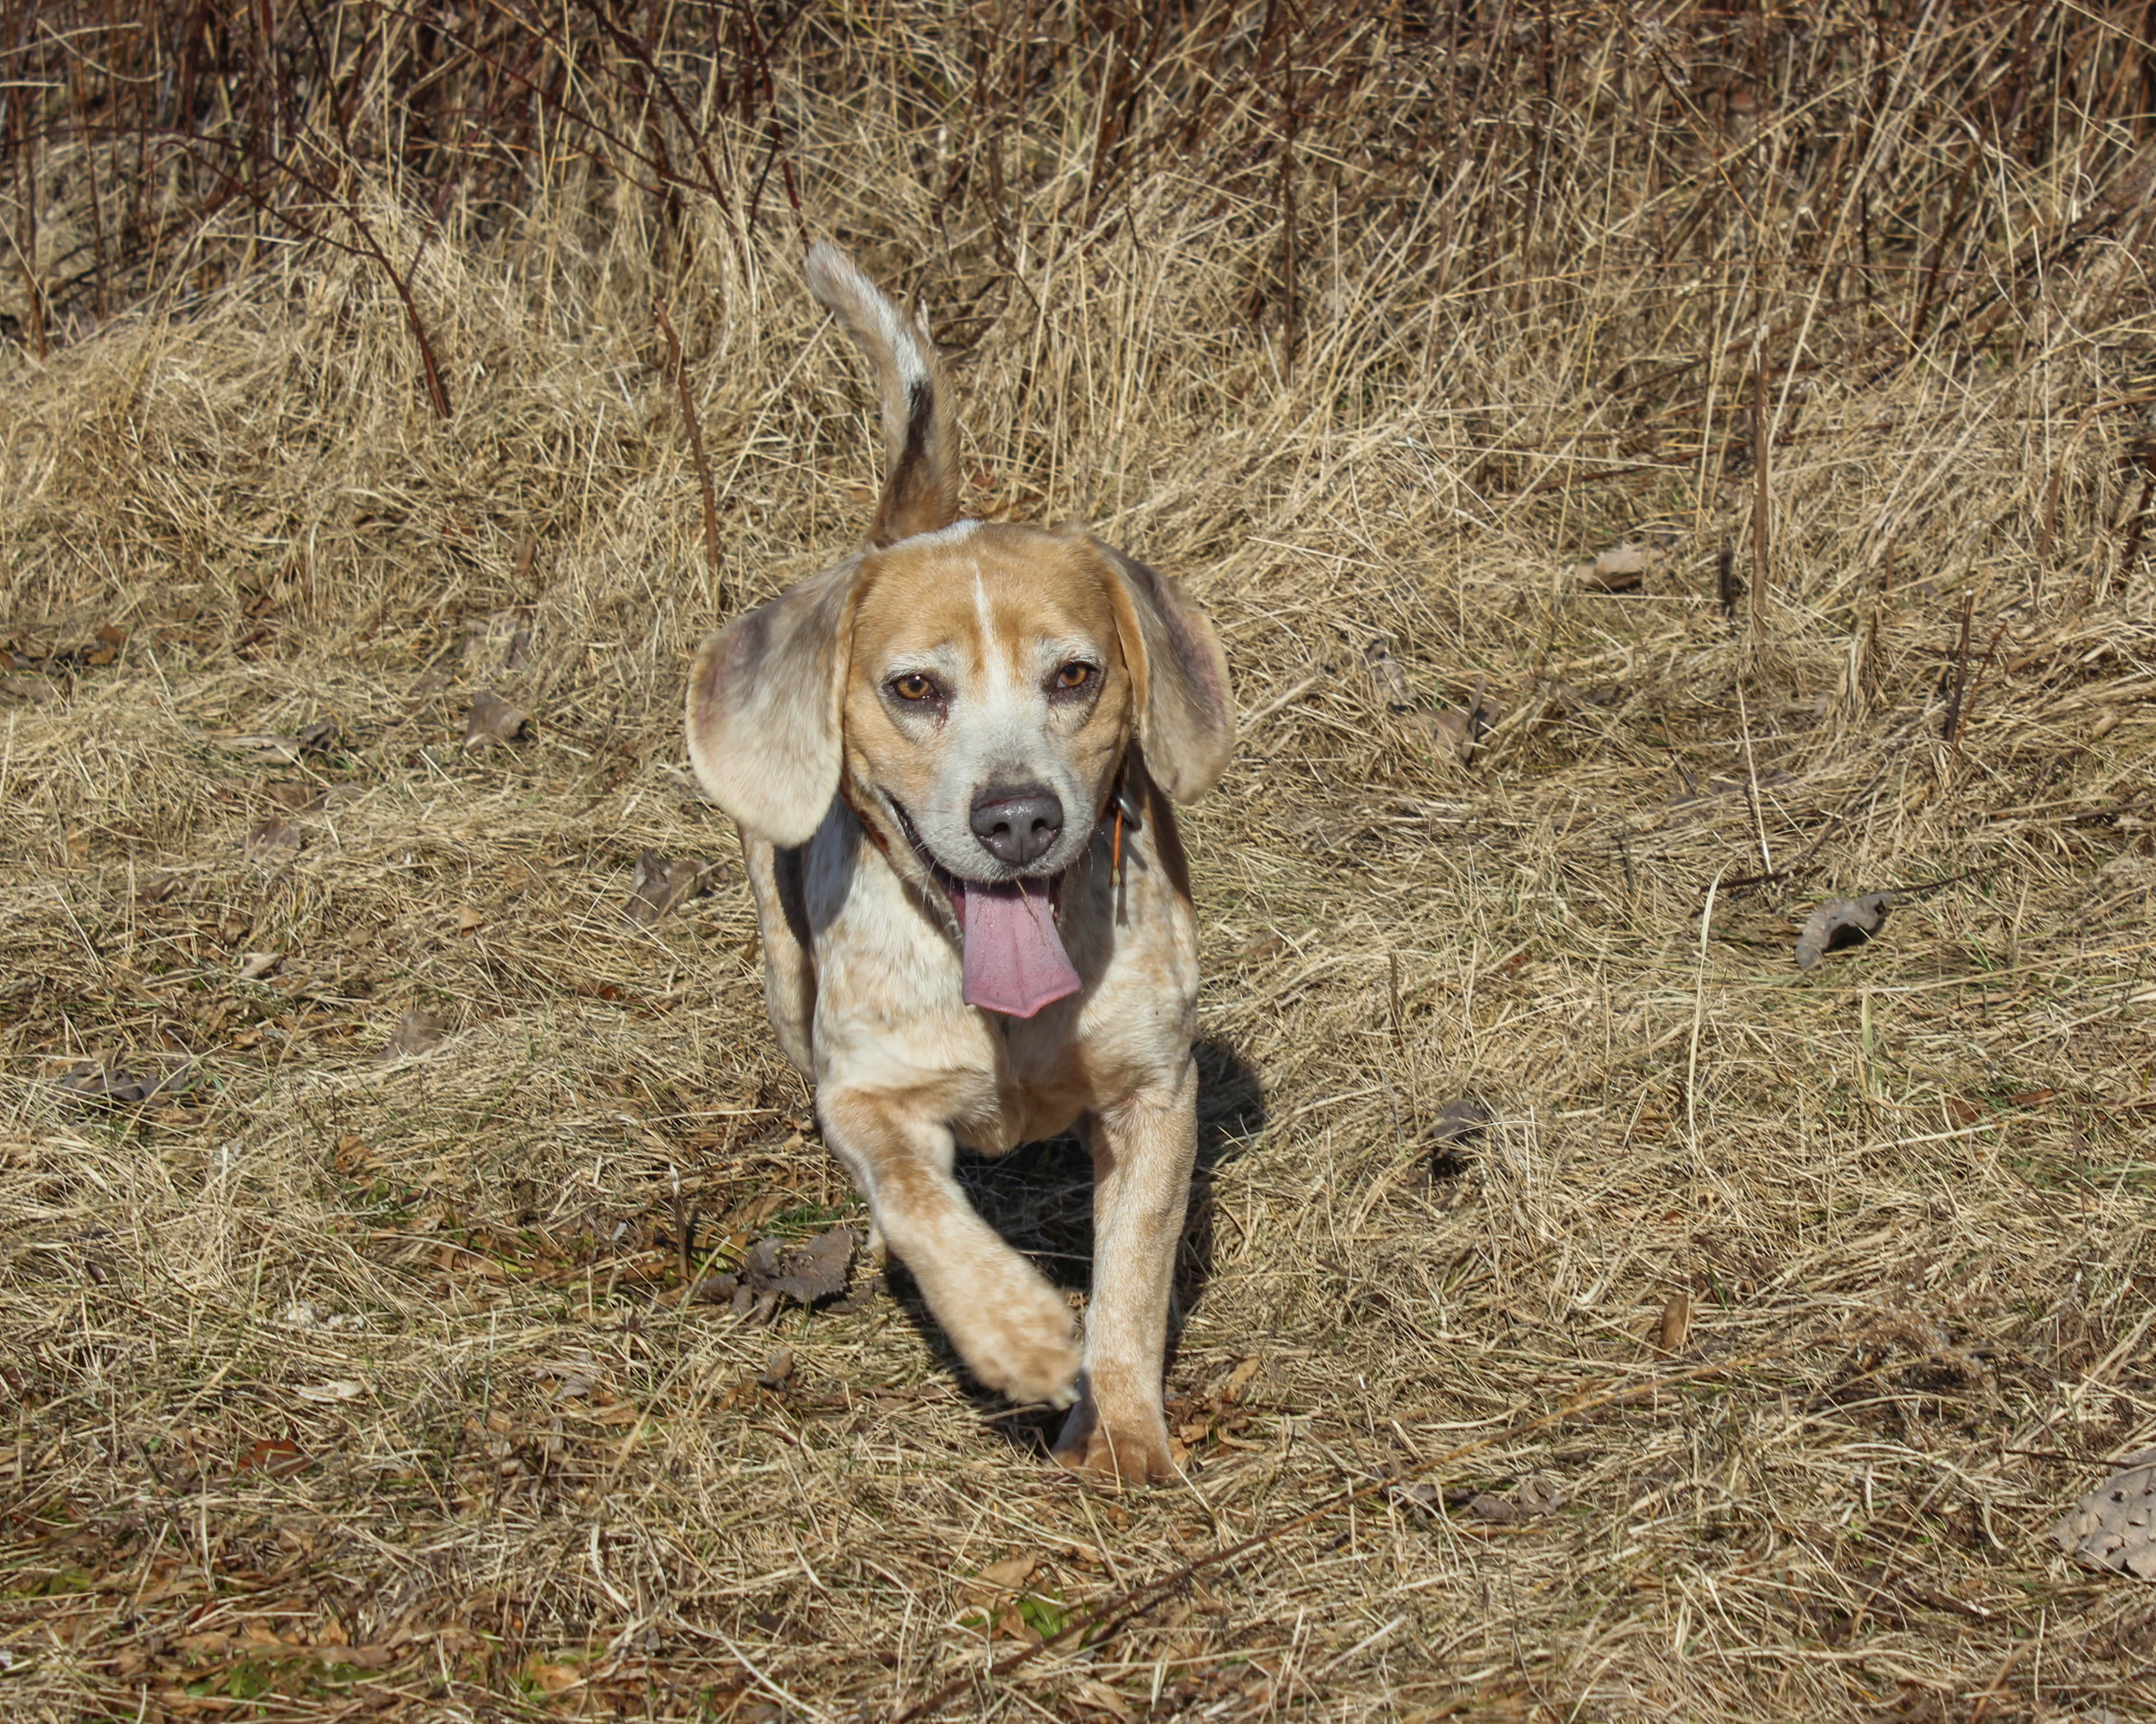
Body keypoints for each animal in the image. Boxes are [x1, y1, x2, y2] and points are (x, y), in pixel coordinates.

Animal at [690, 246, 1233, 1484]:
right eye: (914, 688)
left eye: (1076, 675)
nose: (1018, 816)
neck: (1011, 1022)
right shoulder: (866, 1097)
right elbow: (918, 1205)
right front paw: (1018, 1331)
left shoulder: (1154, 1093)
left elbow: (1130, 1285)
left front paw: (1119, 1436)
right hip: (781, 978)